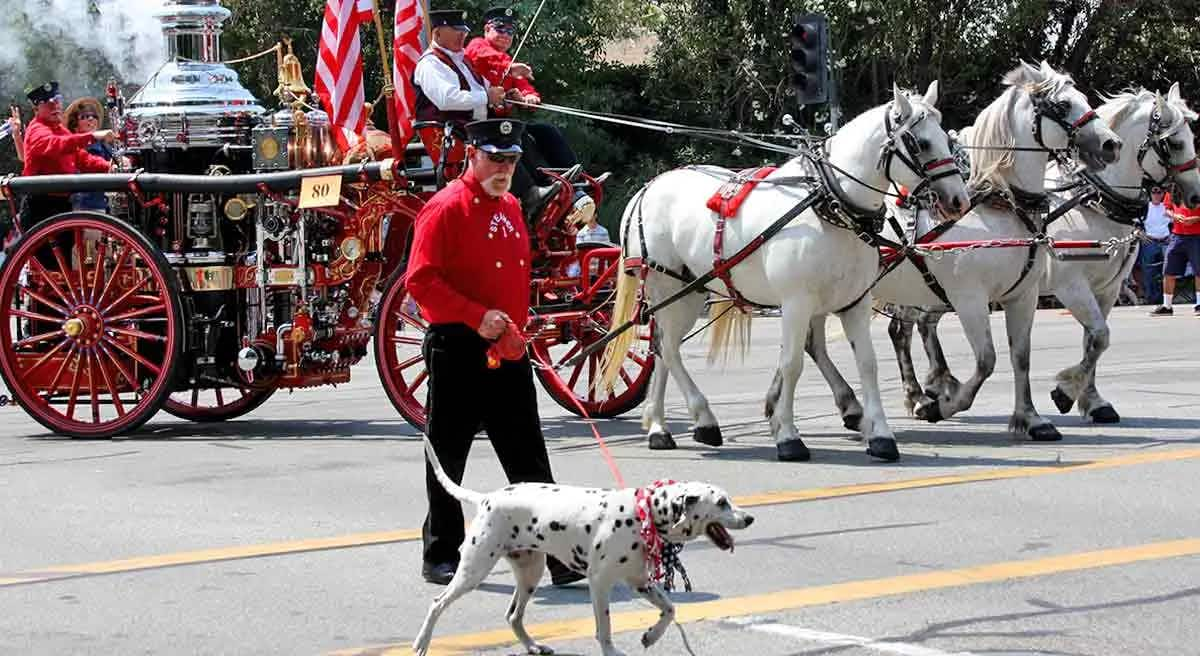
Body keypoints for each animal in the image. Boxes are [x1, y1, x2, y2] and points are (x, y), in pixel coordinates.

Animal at [412, 436, 748, 656]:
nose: (750, 518)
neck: (642, 514)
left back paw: (533, 646)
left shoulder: (640, 582)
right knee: (436, 604)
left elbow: (670, 609)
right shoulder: (600, 584)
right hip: (473, 570)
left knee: (513, 617)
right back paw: (422, 643)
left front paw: (651, 636)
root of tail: (487, 498)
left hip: (530, 573)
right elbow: (605, 629)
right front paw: (613, 652)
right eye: (721, 502)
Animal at [595, 82, 969, 462]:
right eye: (921, 143)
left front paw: (880, 435)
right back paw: (695, 420)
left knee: (661, 349)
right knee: (668, 348)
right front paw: (788, 437)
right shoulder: (796, 303)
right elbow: (792, 364)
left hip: (689, 290)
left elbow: (867, 362)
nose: (959, 201)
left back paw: (661, 425)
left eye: (946, 138)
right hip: (668, 288)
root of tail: (648, 188)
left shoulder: (855, 302)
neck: (830, 207)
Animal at [801, 62, 1118, 441]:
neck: (1002, 206)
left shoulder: (1023, 296)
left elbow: (1021, 356)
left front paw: (1030, 418)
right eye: (1062, 104)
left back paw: (867, 403)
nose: (1111, 144)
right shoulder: (970, 298)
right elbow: (986, 360)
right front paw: (946, 405)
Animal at [1041, 83, 1200, 422]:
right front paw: (1066, 391)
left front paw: (1094, 401)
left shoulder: (1108, 288)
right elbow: (1100, 337)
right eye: (1176, 143)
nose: (1196, 196)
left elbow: (1093, 341)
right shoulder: (1071, 285)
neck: (1094, 202)